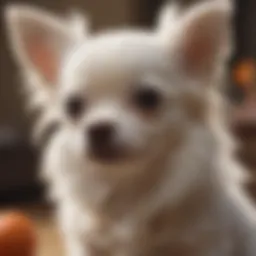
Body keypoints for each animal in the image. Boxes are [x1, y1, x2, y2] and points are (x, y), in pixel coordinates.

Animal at [5, 0, 256, 256]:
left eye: (148, 99)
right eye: (73, 107)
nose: (98, 128)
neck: (127, 186)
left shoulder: (206, 242)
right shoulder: (87, 245)